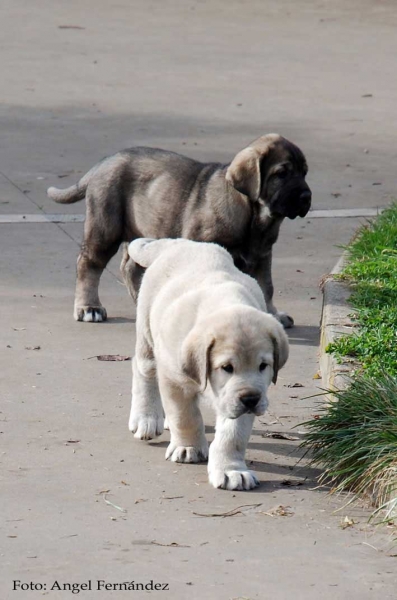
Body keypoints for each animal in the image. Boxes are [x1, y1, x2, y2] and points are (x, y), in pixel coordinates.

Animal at [48, 134, 310, 326]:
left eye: (305, 172)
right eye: (282, 173)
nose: (307, 196)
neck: (253, 215)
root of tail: (105, 162)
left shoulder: (263, 255)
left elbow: (267, 287)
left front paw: (273, 314)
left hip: (143, 232)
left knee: (130, 267)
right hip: (106, 227)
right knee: (89, 264)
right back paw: (89, 307)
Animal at [127, 237, 288, 490]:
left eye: (263, 366)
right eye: (227, 368)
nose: (251, 399)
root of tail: (179, 243)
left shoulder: (237, 400)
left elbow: (233, 436)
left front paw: (232, 470)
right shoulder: (175, 380)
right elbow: (185, 416)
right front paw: (188, 447)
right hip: (147, 330)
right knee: (143, 370)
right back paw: (146, 419)